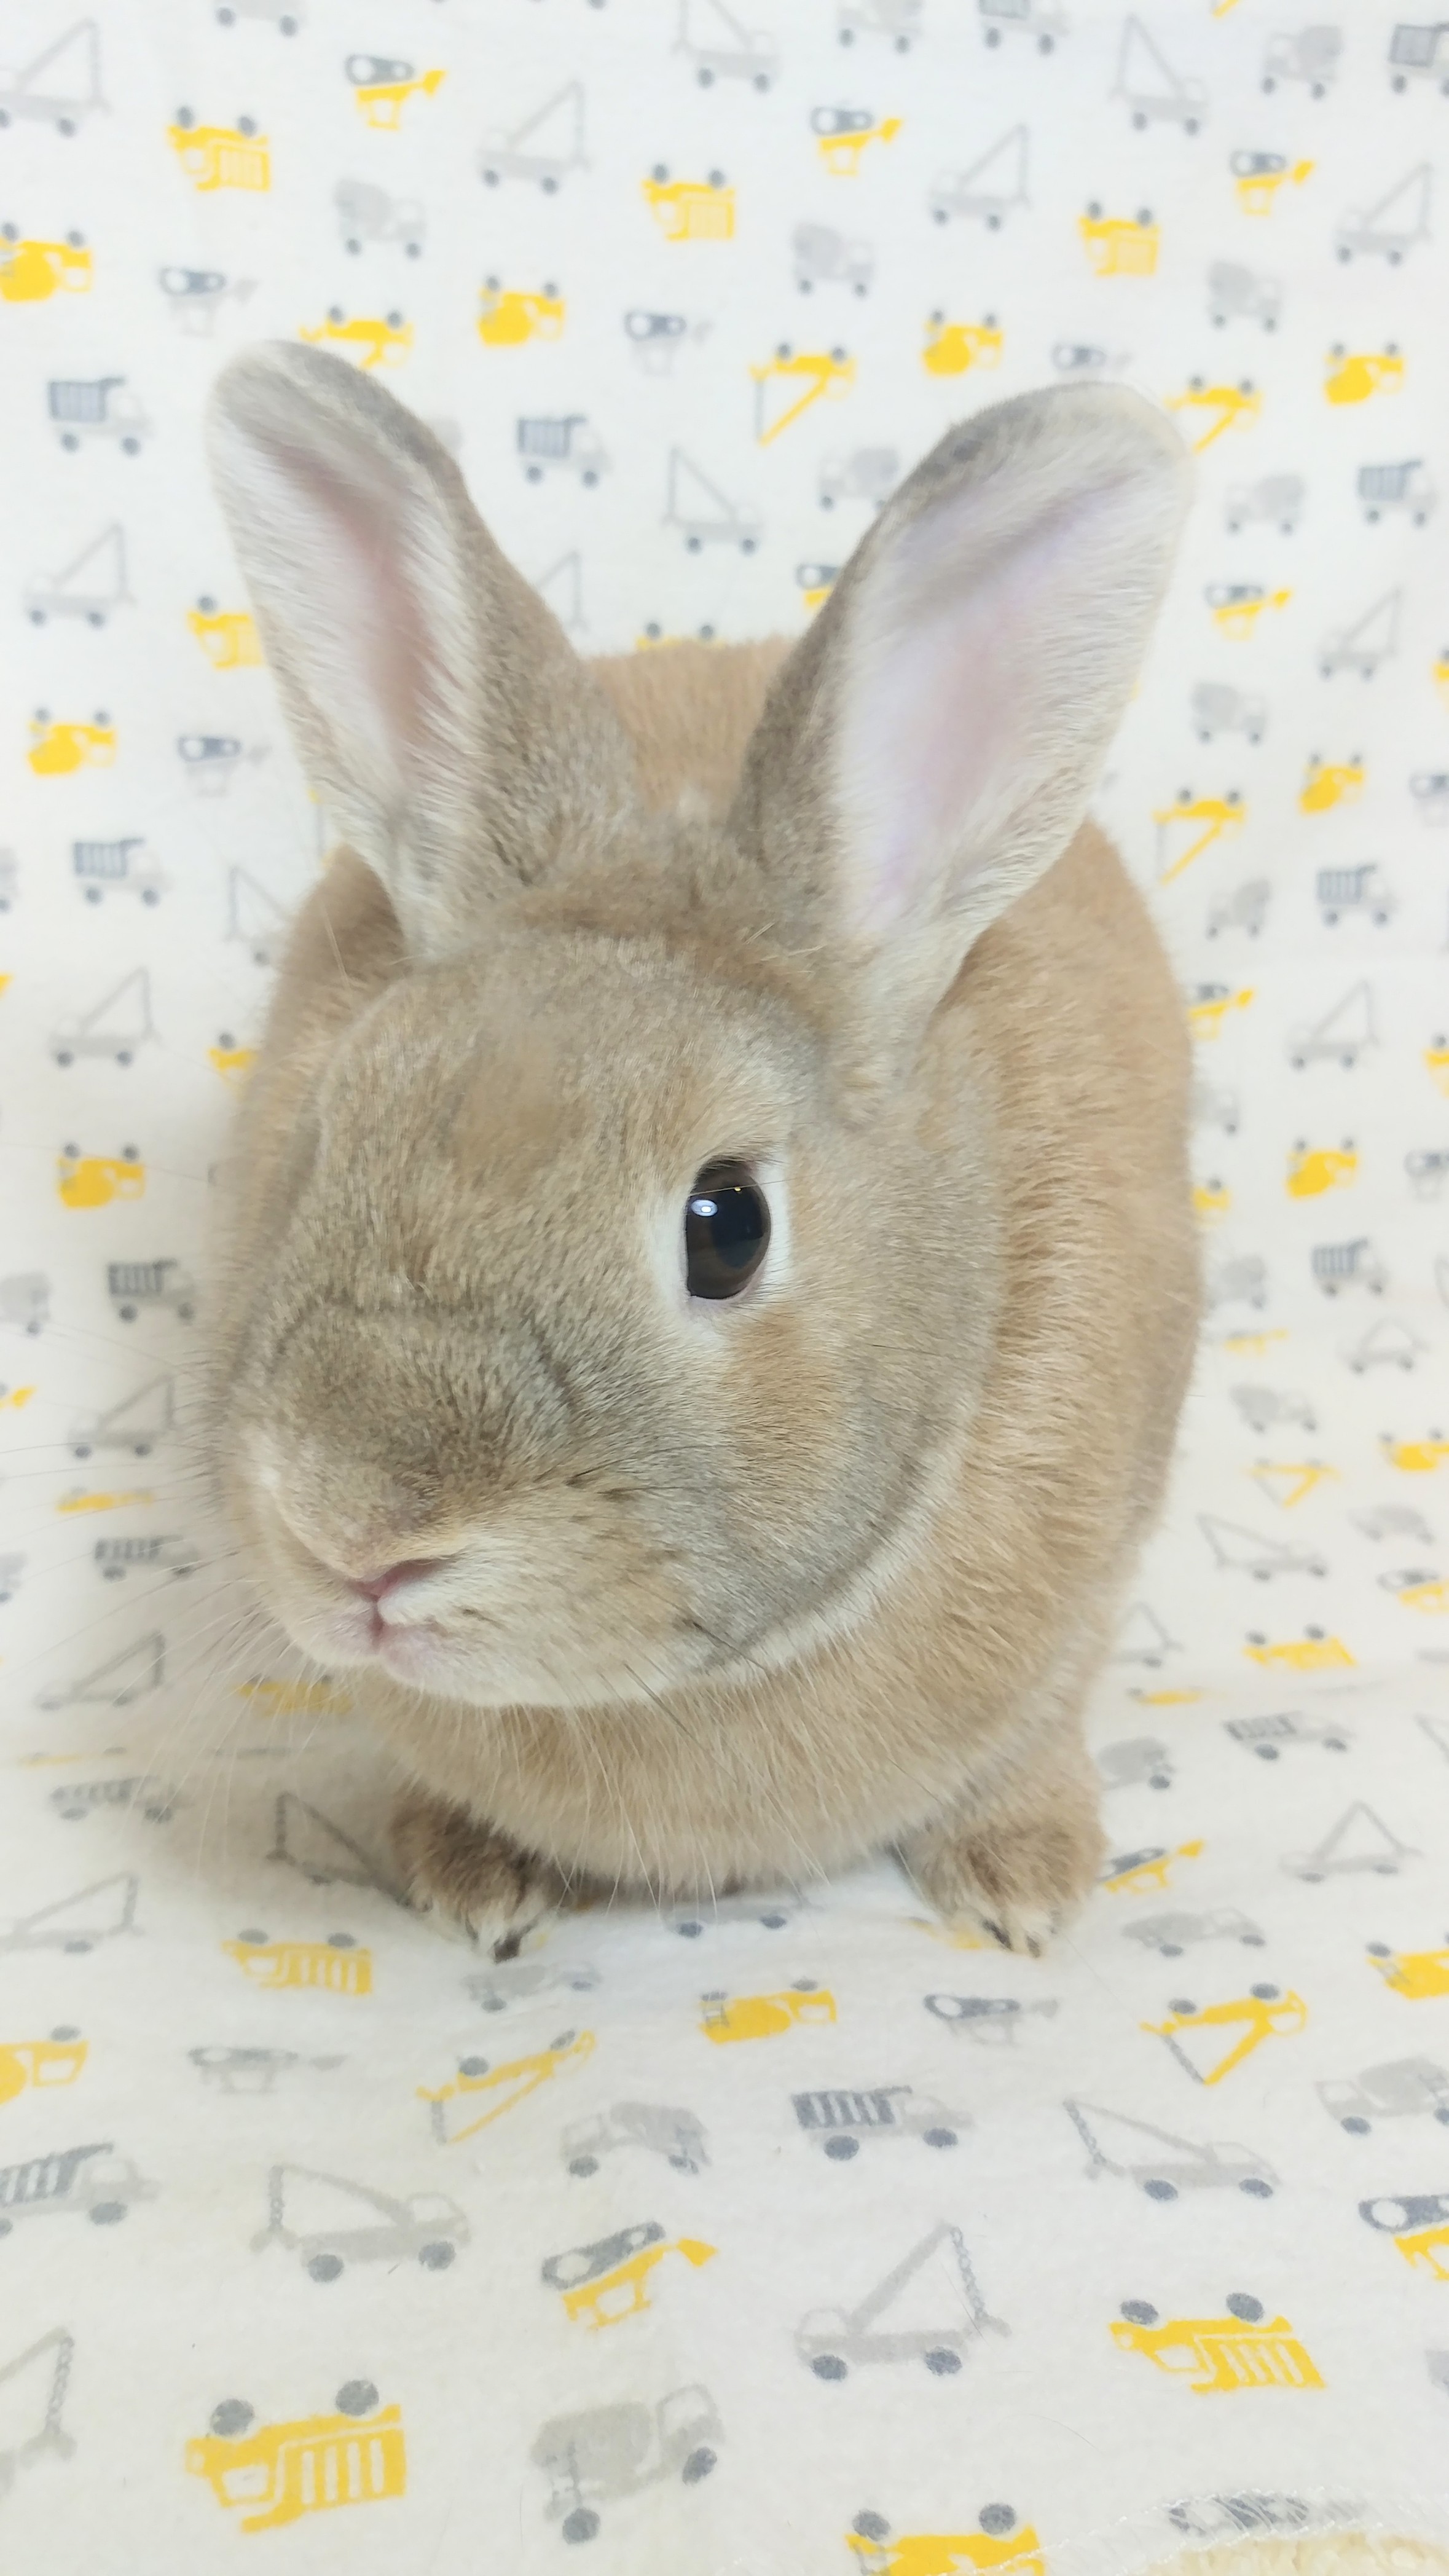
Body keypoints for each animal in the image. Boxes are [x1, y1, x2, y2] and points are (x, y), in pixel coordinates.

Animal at [206, 343, 1198, 1957]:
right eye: (328, 1130)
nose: (359, 1532)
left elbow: (1035, 1727)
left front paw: (1023, 1888)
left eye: (724, 1225)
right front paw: (476, 1882)